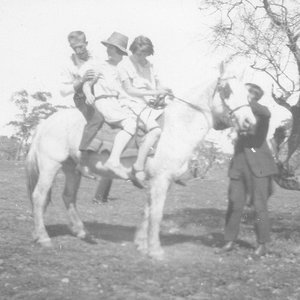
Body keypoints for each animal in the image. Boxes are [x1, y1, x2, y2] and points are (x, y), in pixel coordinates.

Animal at [25, 66, 255, 260]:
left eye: (247, 93)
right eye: (226, 90)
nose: (249, 122)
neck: (175, 129)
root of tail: (45, 122)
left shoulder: (159, 182)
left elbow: (148, 211)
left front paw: (142, 244)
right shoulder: (161, 180)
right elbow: (157, 213)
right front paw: (156, 251)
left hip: (72, 169)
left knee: (68, 197)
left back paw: (83, 233)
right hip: (50, 166)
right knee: (38, 197)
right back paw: (43, 237)